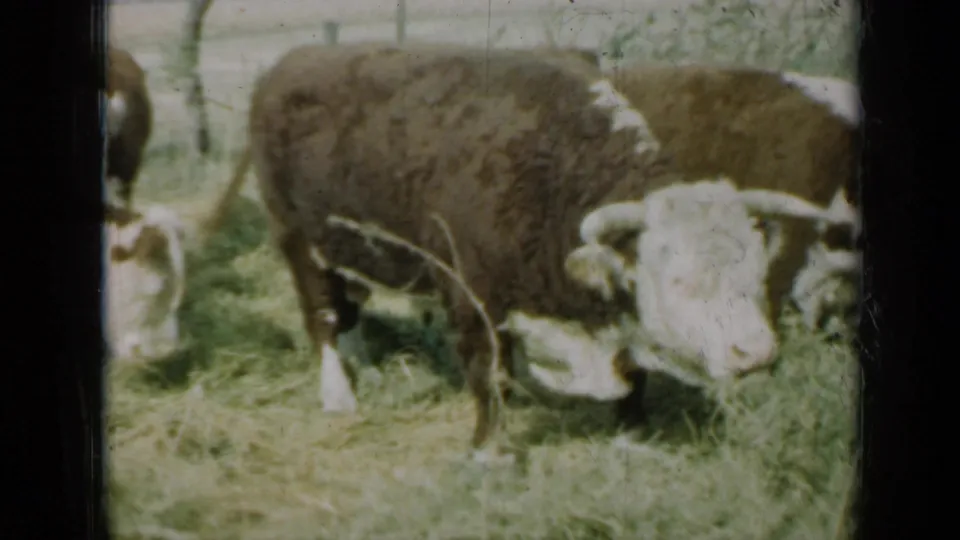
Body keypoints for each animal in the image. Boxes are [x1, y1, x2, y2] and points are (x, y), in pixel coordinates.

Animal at [199, 43, 847, 459]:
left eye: (754, 270)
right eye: (681, 281)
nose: (756, 352)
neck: (549, 168)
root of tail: (289, 63)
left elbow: (633, 372)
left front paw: (633, 437)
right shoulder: (471, 295)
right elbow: (491, 375)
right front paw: (489, 450)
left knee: (350, 299)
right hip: (295, 238)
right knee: (323, 314)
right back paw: (339, 392)